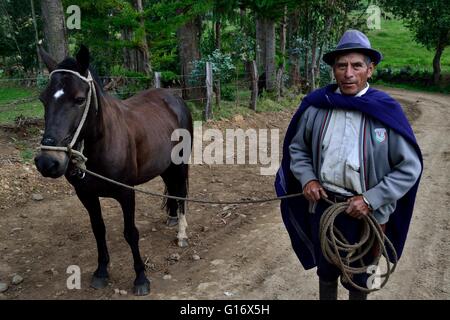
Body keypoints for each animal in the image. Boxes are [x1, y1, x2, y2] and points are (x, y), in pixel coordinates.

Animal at [33, 45, 192, 296]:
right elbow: (98, 230)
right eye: (43, 99)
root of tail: (174, 98)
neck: (103, 143)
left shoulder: (126, 193)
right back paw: (172, 218)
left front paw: (141, 278)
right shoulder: (86, 196)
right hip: (164, 165)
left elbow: (130, 233)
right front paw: (101, 272)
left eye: (79, 99)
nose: (48, 162)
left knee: (181, 193)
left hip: (180, 164)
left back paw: (182, 234)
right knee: (172, 190)